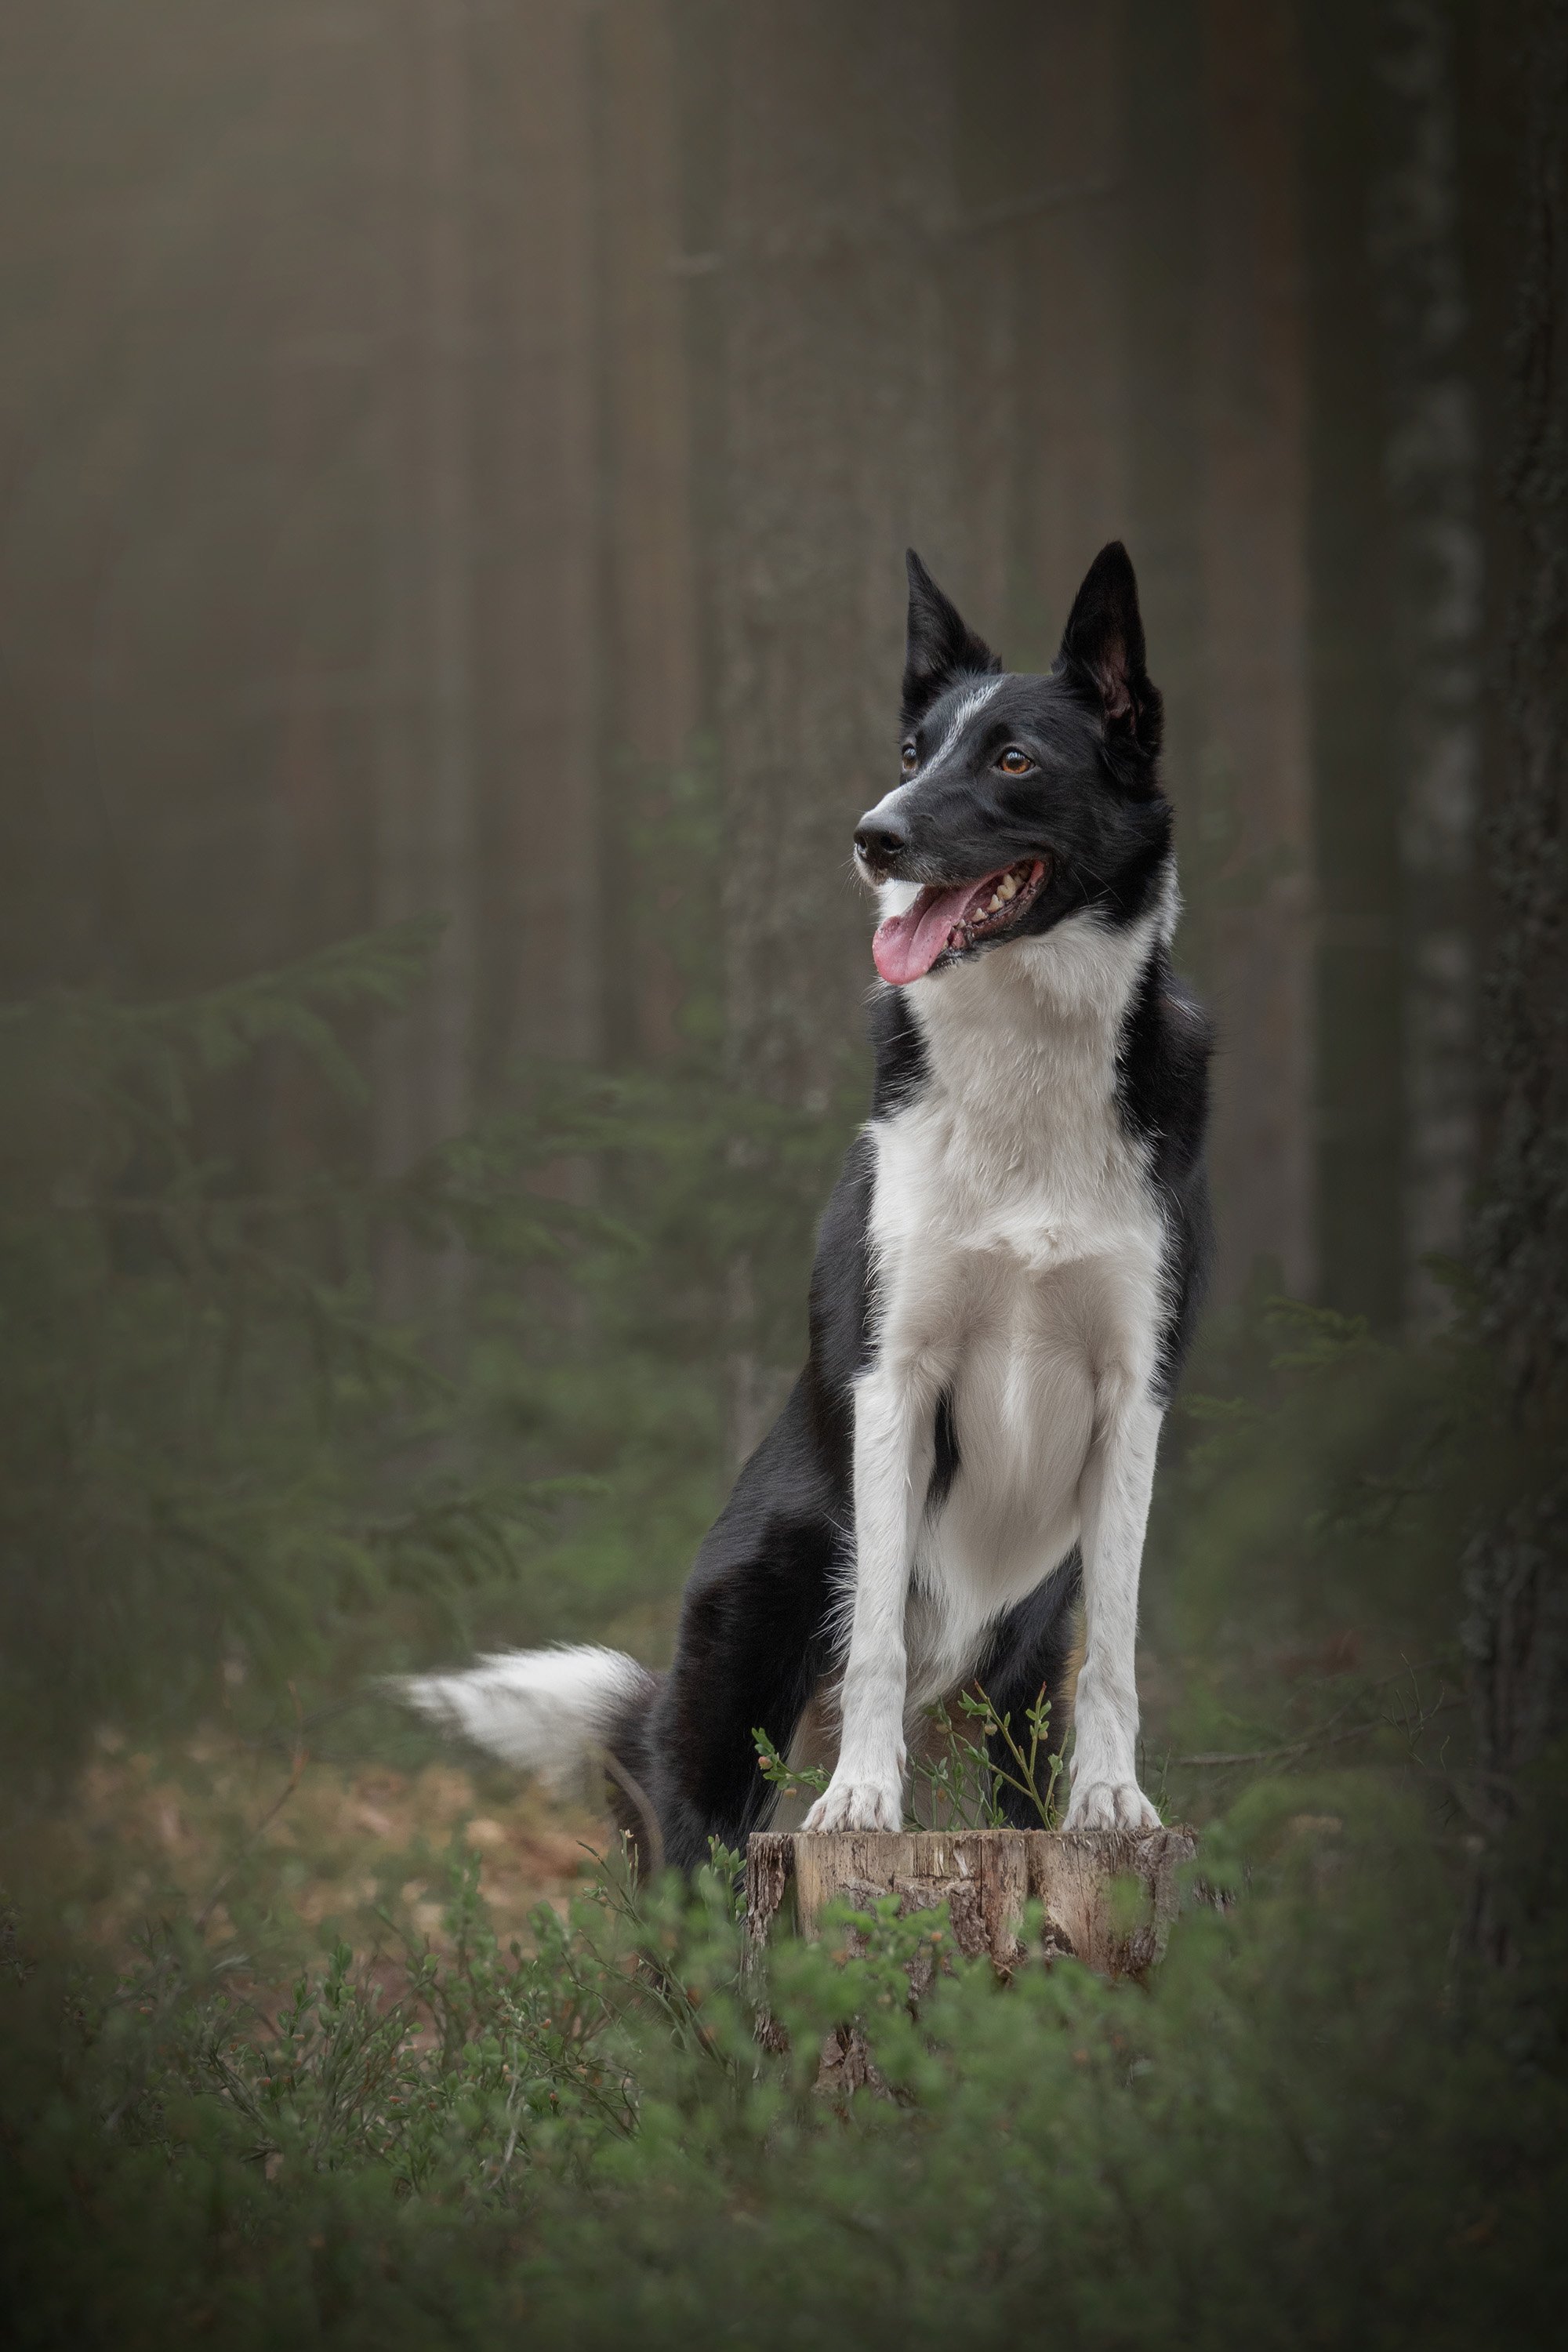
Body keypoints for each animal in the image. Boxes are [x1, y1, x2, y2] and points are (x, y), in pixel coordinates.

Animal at [404, 541, 1213, 1863]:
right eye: (912, 750)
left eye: (1014, 759)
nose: (872, 837)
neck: (1025, 1070)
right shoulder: (898, 1375)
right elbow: (877, 1621)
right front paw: (862, 1803)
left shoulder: (1133, 1389)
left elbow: (1124, 1646)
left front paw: (1115, 1803)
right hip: (743, 1671)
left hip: (1012, 1680)